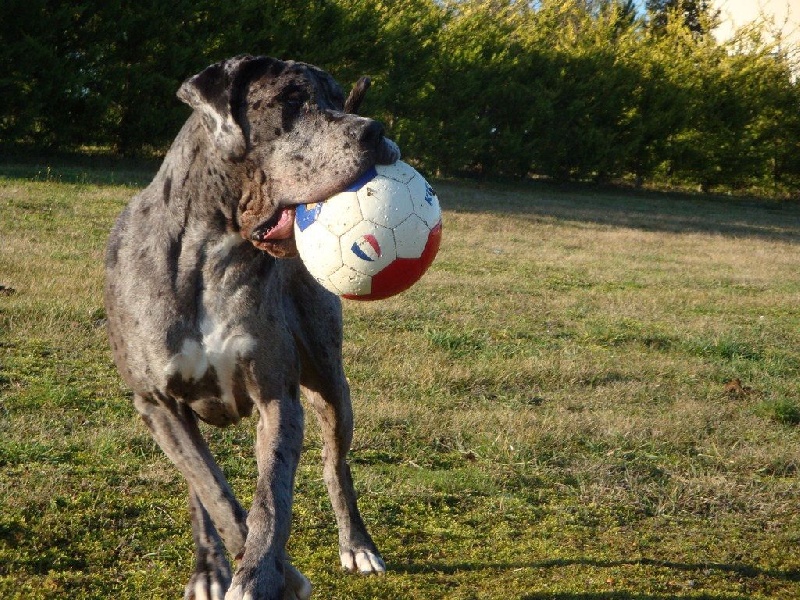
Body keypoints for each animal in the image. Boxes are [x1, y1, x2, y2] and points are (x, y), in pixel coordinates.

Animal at [104, 55, 401, 600]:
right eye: (290, 100)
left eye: (335, 98)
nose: (375, 129)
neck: (212, 253)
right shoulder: (156, 404)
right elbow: (213, 490)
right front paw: (270, 573)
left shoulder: (278, 398)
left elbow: (271, 498)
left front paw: (262, 573)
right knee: (199, 486)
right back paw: (208, 567)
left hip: (332, 383)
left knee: (336, 465)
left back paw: (357, 544)